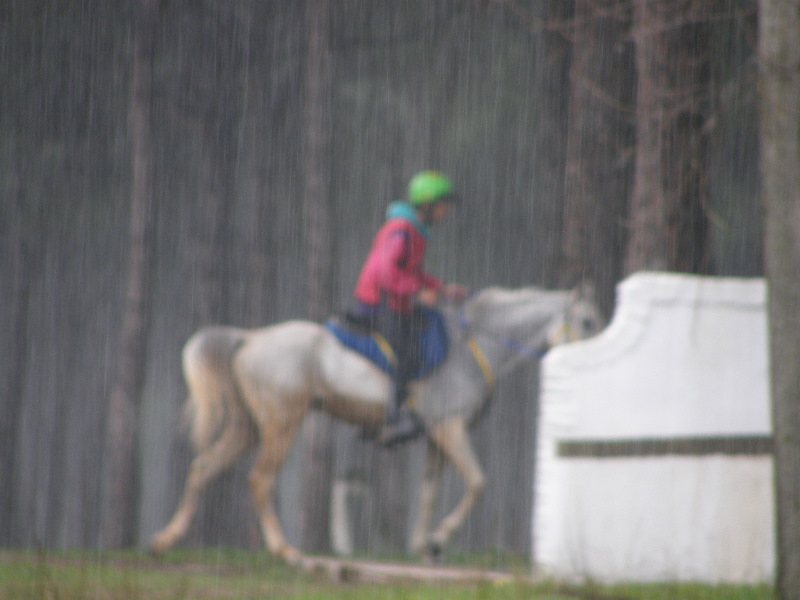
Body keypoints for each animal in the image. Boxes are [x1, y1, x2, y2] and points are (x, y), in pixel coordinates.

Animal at [150, 284, 604, 564]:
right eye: (587, 323)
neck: (473, 346)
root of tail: (249, 338)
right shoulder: (450, 427)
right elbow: (477, 482)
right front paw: (438, 540)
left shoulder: (437, 437)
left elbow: (429, 491)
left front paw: (425, 546)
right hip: (281, 424)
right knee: (260, 479)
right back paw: (285, 551)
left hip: (248, 427)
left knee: (203, 468)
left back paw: (165, 540)